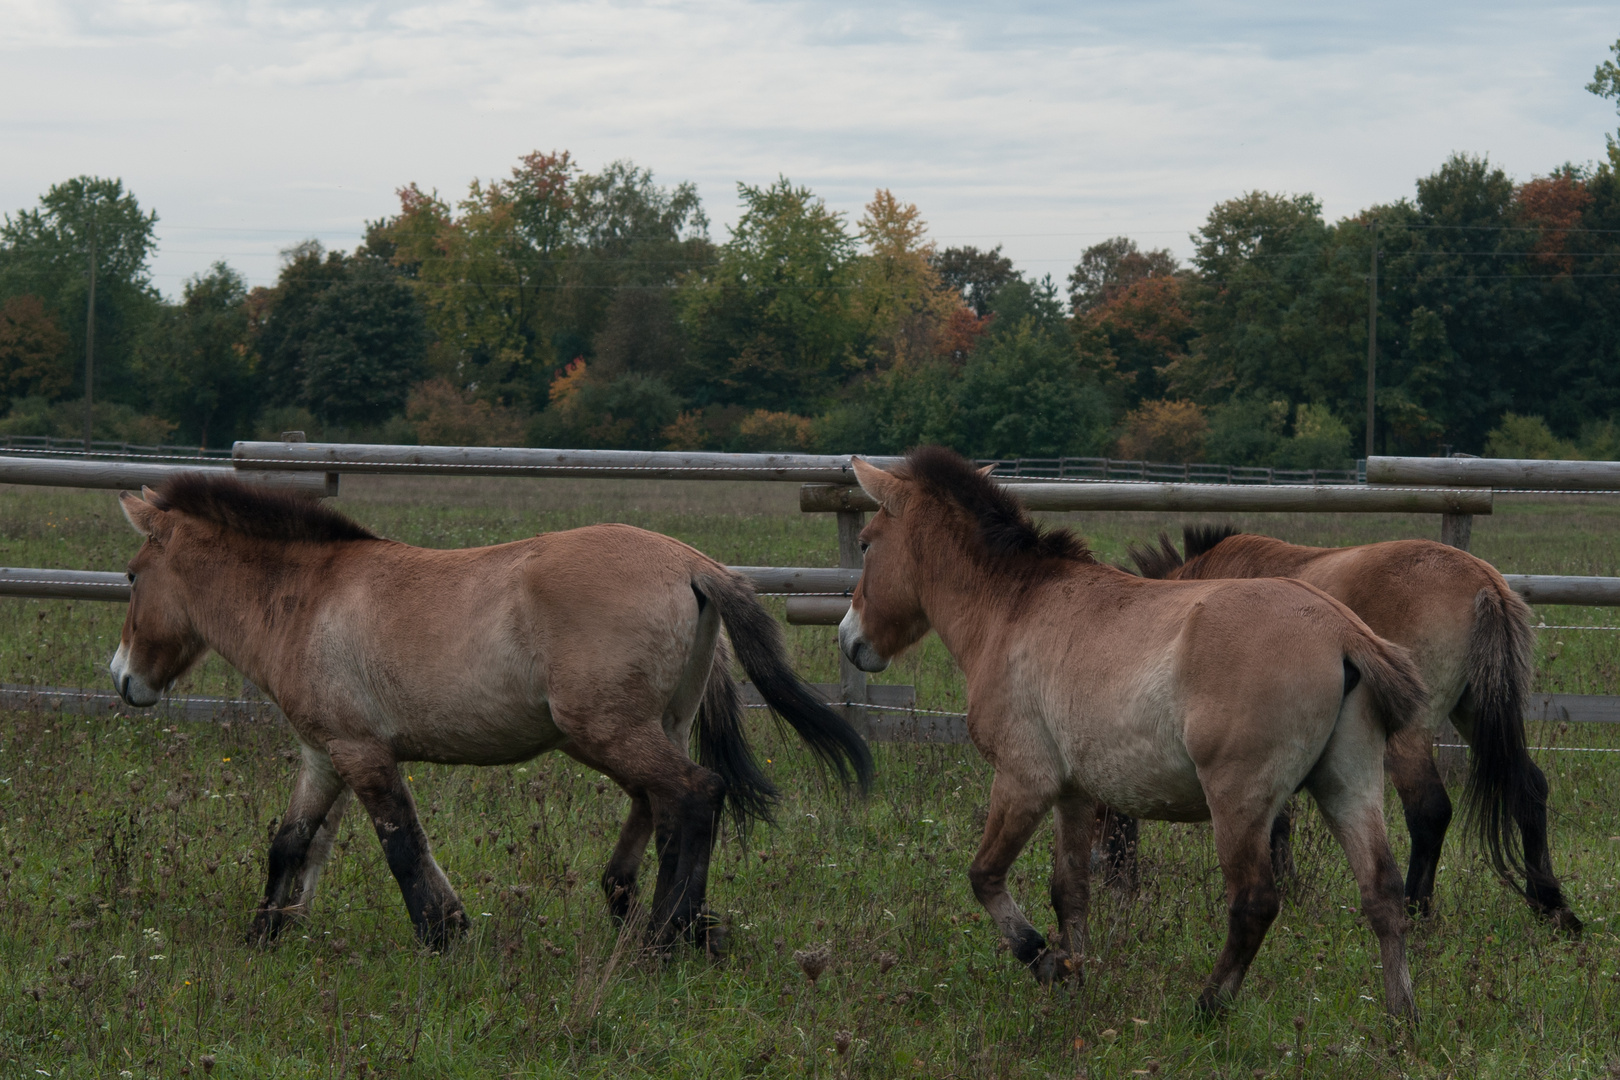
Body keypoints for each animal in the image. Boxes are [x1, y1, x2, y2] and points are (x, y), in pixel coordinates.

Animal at [110, 472, 874, 952]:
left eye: (131, 576)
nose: (122, 680)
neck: (309, 600)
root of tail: (693, 564)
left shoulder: (362, 753)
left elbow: (402, 847)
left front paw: (443, 936)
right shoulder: (324, 755)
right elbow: (293, 842)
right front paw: (263, 933)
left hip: (608, 732)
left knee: (695, 794)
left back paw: (668, 937)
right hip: (644, 730)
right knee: (662, 808)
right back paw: (655, 918)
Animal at [842, 443, 1425, 1016]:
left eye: (866, 544)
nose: (850, 640)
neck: (1016, 606)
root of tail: (1342, 632)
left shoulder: (1024, 781)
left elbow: (984, 876)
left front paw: (1045, 960)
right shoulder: (1074, 794)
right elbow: (1070, 890)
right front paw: (1075, 979)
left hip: (1240, 801)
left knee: (1254, 902)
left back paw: (1207, 1007)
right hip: (1347, 786)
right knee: (1382, 891)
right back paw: (1402, 1017)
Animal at [1101, 527, 1581, 932]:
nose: (1115, 881)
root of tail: (1483, 581)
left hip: (1409, 737)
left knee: (1430, 811)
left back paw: (1415, 912)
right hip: (1477, 712)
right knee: (1529, 788)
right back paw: (1553, 907)